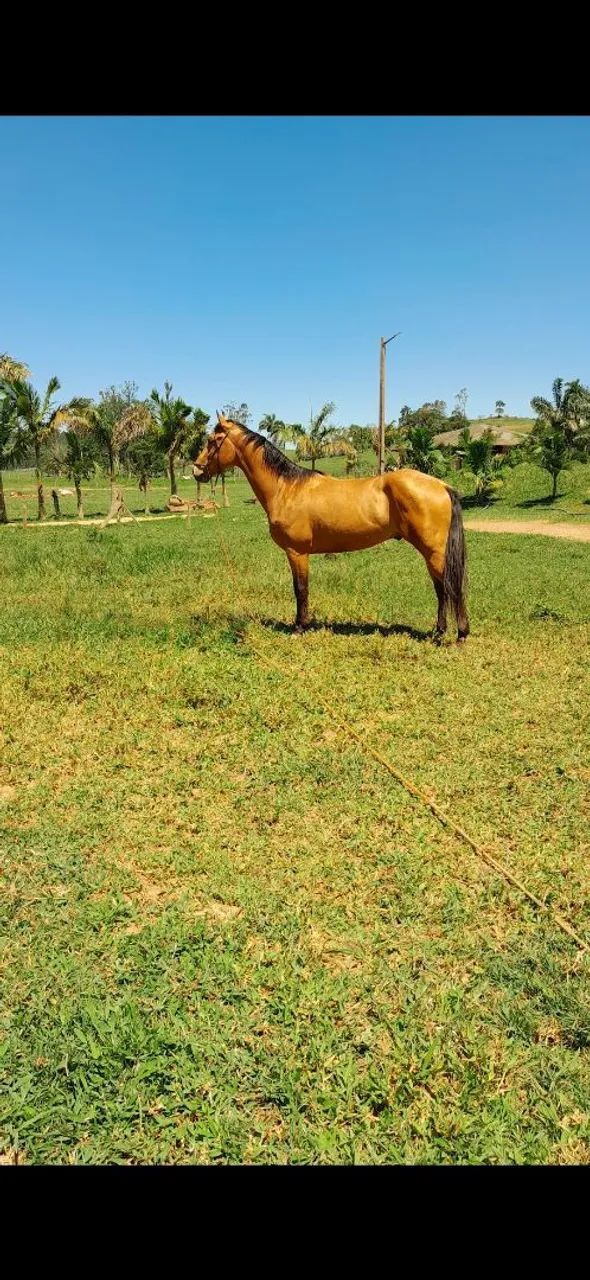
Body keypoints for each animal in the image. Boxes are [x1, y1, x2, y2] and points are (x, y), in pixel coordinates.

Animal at [194, 413, 469, 642]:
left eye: (213, 440)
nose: (197, 470)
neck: (286, 488)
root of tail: (442, 486)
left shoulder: (297, 552)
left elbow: (300, 589)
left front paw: (299, 627)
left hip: (434, 552)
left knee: (448, 588)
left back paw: (458, 634)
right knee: (442, 589)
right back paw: (440, 632)